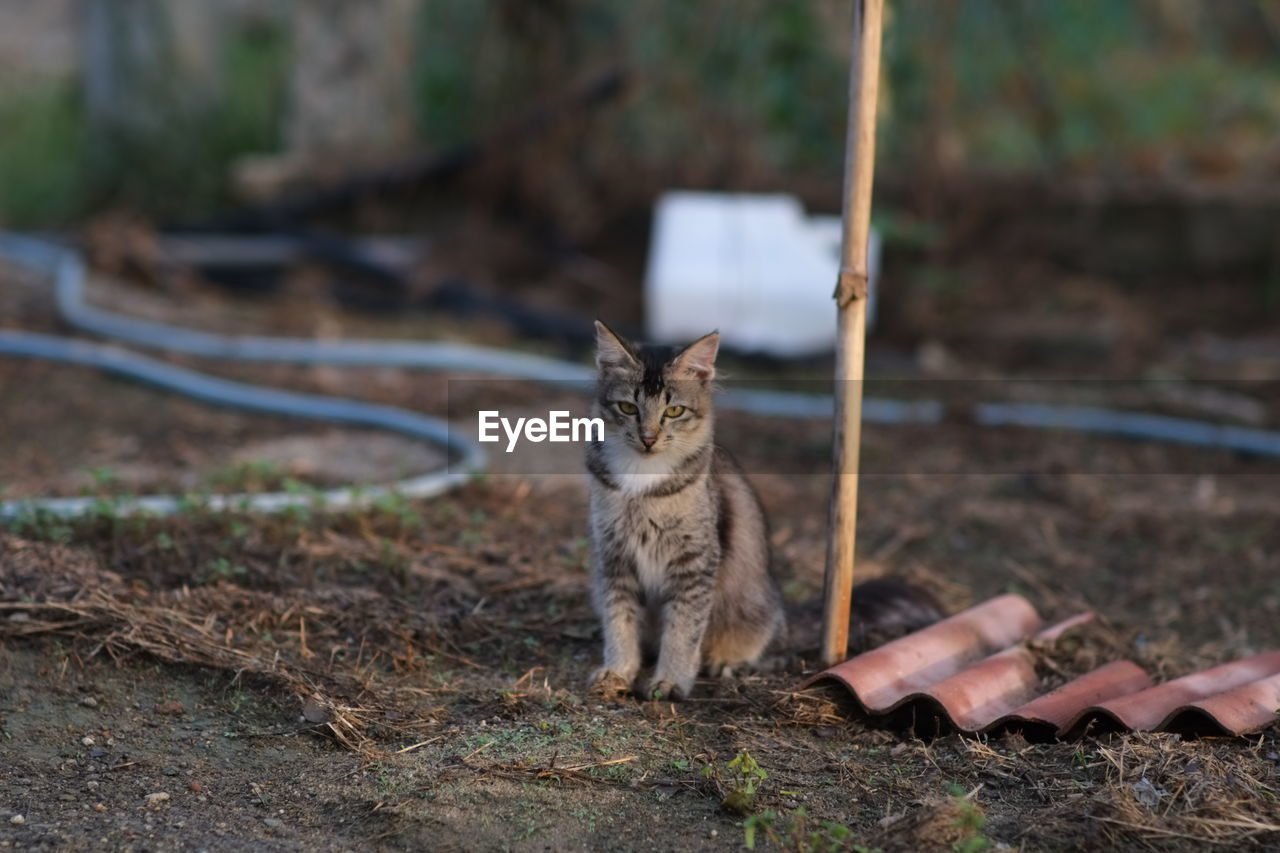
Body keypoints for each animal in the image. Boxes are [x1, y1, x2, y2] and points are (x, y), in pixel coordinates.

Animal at [586, 320, 947, 696]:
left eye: (673, 411)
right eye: (628, 408)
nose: (648, 439)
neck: (641, 479)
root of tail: (783, 614)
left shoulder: (694, 562)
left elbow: (682, 631)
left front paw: (670, 681)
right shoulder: (613, 558)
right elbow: (620, 622)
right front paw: (618, 671)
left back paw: (725, 663)